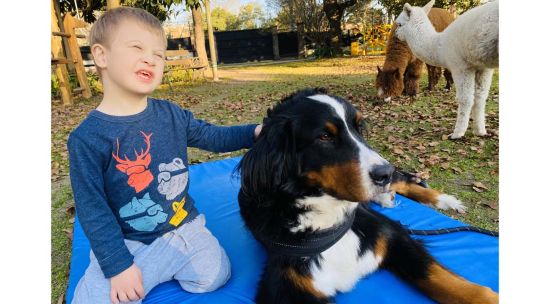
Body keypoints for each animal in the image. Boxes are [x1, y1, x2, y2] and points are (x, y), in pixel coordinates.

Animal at [236, 88, 498, 304]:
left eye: (359, 128)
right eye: (324, 136)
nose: (385, 173)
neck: (327, 218)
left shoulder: (392, 235)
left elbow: (448, 282)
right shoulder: (286, 287)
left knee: (404, 181)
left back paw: (444, 200)